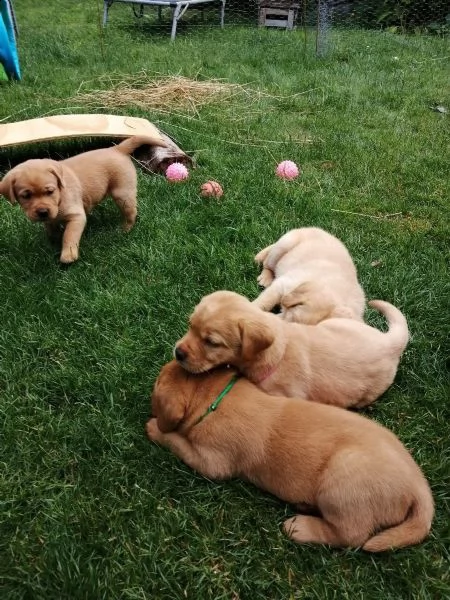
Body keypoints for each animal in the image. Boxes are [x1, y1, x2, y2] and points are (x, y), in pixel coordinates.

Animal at [0, 138, 165, 264]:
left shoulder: (76, 217)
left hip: (123, 193)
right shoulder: (50, 219)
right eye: (26, 196)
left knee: (131, 212)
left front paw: (67, 254)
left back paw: (125, 229)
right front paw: (52, 242)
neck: (60, 196)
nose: (42, 212)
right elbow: (51, 229)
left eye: (50, 191)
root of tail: (117, 149)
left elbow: (69, 235)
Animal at [147, 360, 432, 552]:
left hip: (342, 482)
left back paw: (299, 527)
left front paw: (153, 429)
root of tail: (419, 487)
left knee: (351, 535)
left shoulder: (212, 462)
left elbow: (177, 442)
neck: (216, 397)